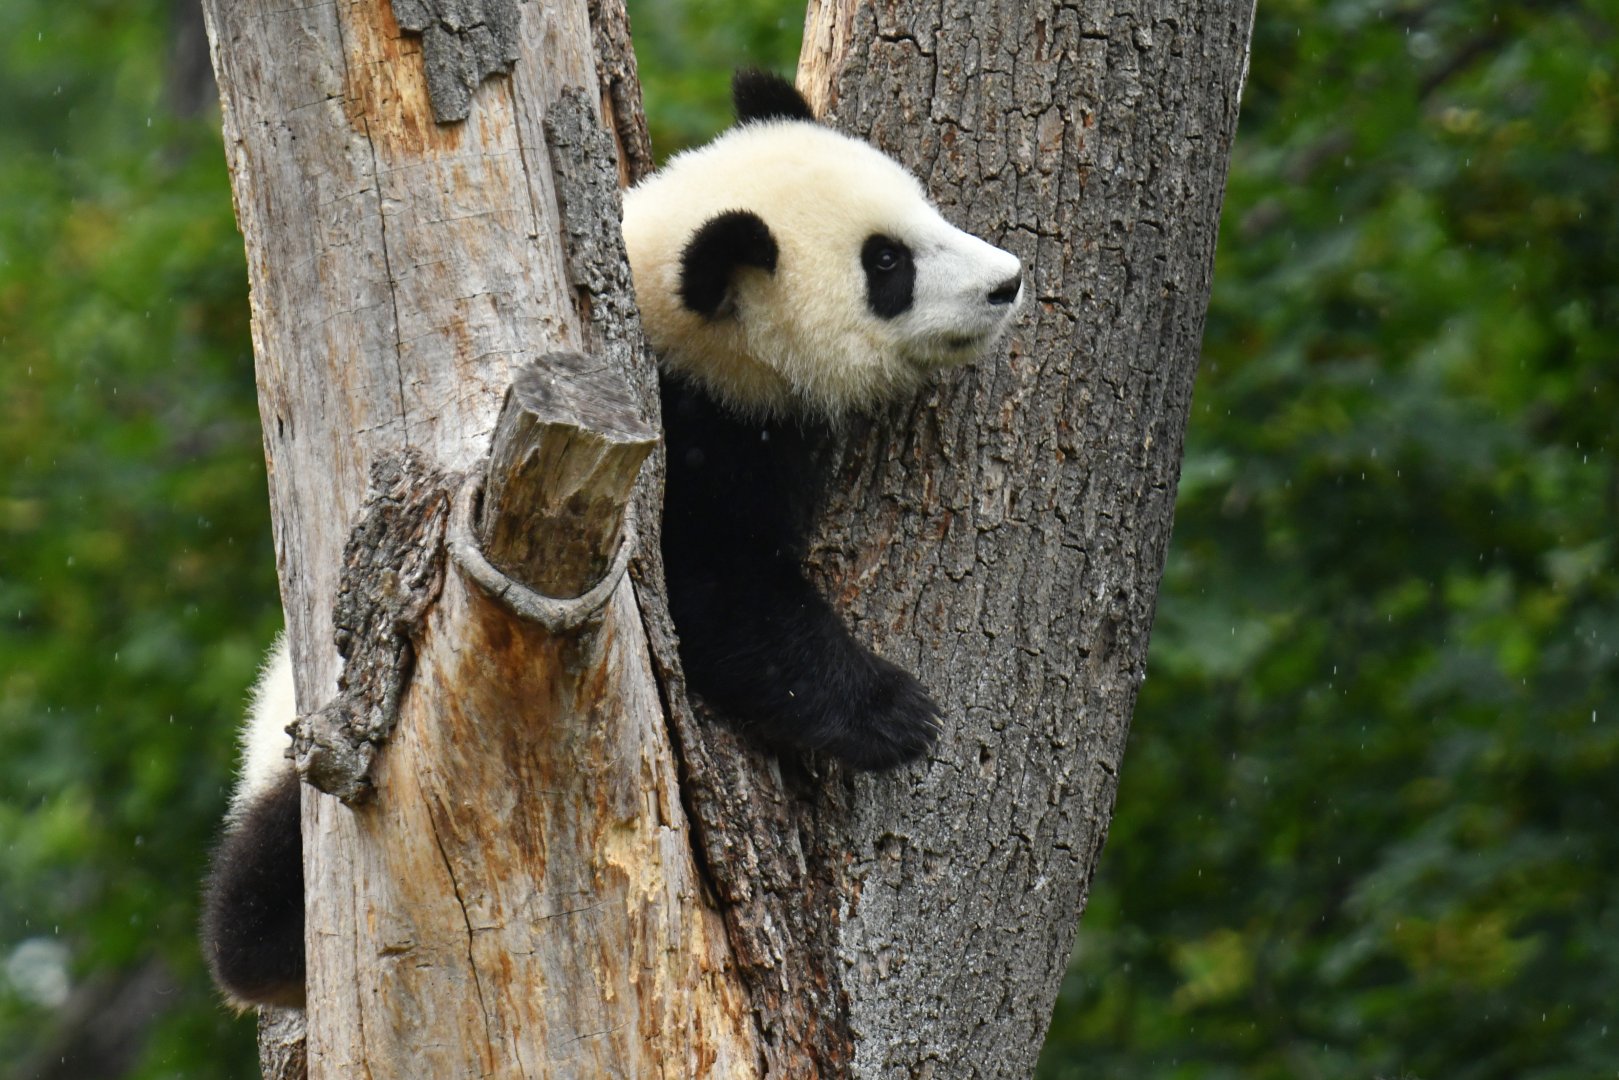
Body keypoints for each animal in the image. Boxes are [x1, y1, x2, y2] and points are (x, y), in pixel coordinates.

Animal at [201, 69, 1023, 1010]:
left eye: (923, 207)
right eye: (885, 263)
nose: (1007, 281)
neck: (673, 319)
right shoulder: (674, 442)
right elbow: (719, 595)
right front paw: (893, 712)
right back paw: (257, 941)